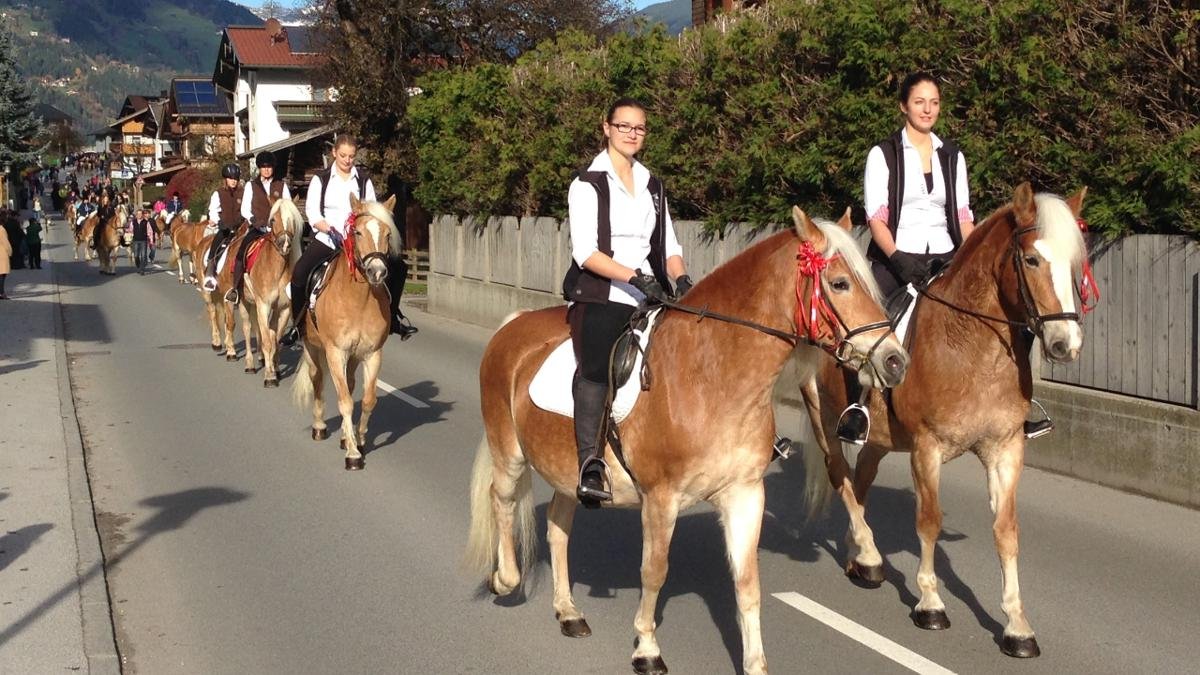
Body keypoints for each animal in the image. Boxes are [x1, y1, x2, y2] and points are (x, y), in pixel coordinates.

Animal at [232, 196, 300, 386]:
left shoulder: (283, 308)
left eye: (293, 220)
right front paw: (269, 376)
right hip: (244, 303)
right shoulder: (263, 305)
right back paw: (250, 364)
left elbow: (274, 339)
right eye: (273, 220)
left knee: (263, 331)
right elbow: (268, 341)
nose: (285, 244)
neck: (276, 268)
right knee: (248, 329)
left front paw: (275, 369)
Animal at [290, 193, 403, 468]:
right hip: (312, 347)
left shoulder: (372, 354)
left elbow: (368, 399)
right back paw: (320, 427)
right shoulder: (335, 352)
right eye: (358, 232)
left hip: (353, 357)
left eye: (387, 233)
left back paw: (343, 435)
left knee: (350, 384)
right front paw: (353, 454)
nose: (377, 272)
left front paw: (358, 441)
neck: (357, 300)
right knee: (318, 379)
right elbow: (344, 401)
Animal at [468, 207, 907, 667]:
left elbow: (747, 584)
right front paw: (646, 648)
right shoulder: (661, 499)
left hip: (568, 471)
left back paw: (568, 612)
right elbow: (654, 571)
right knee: (501, 499)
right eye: (839, 283)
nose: (895, 361)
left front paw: (755, 664)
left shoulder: (745, 494)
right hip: (509, 452)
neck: (712, 375)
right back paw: (504, 579)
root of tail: (513, 326)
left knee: (557, 527)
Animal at [801, 181, 1094, 653]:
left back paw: (861, 557)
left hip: (879, 439)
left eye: (1074, 264)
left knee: (861, 483)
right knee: (841, 478)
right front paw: (931, 604)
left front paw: (1017, 625)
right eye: (1031, 259)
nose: (1066, 343)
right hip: (824, 420)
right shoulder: (927, 448)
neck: (973, 350)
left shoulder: (1005, 449)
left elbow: (1006, 530)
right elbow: (929, 521)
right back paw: (867, 554)